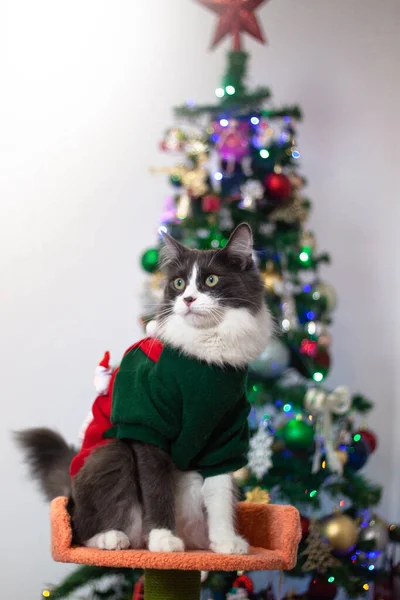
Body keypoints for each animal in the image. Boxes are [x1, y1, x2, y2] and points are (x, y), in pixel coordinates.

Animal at [15, 224, 272, 552]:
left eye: (211, 280)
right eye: (178, 283)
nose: (188, 299)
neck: (204, 358)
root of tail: (70, 488)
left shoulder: (224, 435)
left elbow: (220, 496)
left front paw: (226, 543)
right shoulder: (147, 423)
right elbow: (155, 488)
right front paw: (162, 539)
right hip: (112, 453)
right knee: (79, 526)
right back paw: (115, 538)